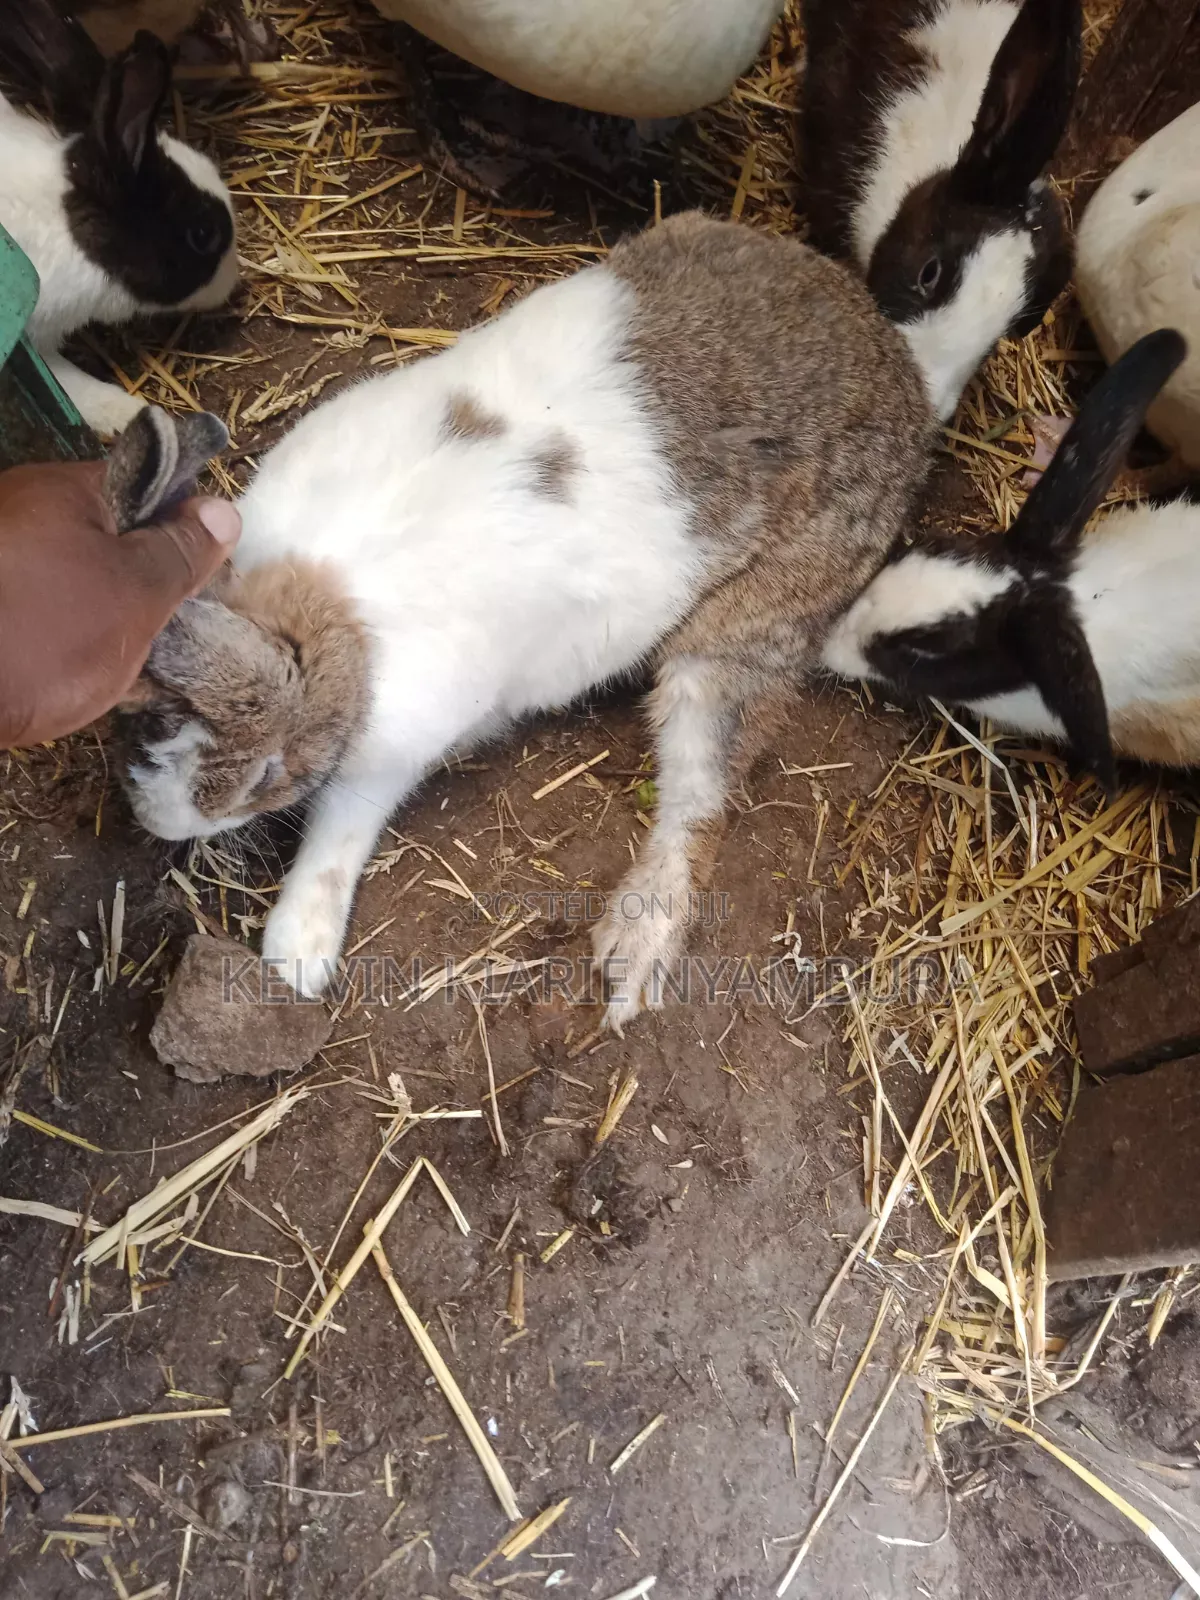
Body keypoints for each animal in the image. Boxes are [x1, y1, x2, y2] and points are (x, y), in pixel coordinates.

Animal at [115, 212, 935, 1030]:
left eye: (265, 773)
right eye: (143, 725)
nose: (157, 823)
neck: (324, 605)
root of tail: (903, 379)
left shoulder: (396, 750)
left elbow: (340, 829)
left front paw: (295, 956)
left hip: (740, 636)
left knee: (701, 796)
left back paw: (631, 957)